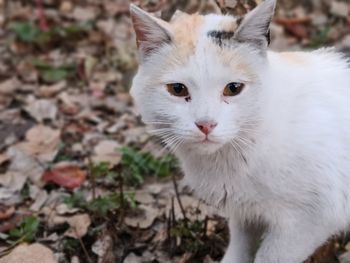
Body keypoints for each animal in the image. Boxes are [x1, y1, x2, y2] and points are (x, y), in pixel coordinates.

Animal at [130, 1, 350, 262]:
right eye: (177, 89)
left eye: (233, 88)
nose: (206, 124)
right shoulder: (244, 213)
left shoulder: (308, 221)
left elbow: (269, 257)